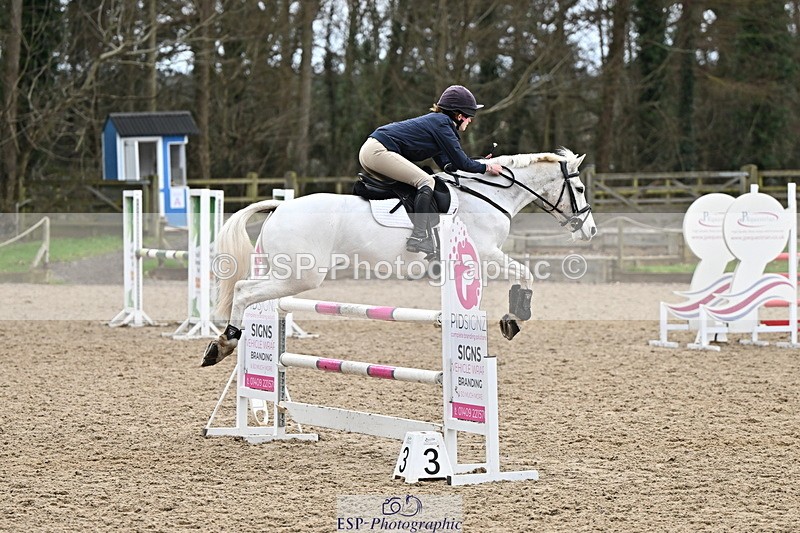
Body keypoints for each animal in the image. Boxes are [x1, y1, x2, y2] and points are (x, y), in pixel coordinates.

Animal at [201, 147, 597, 366]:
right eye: (578, 187)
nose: (589, 230)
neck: (487, 195)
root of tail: (279, 208)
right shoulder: (485, 253)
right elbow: (525, 273)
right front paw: (515, 317)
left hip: (283, 272)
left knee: (249, 290)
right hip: (301, 275)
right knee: (245, 292)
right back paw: (224, 343)